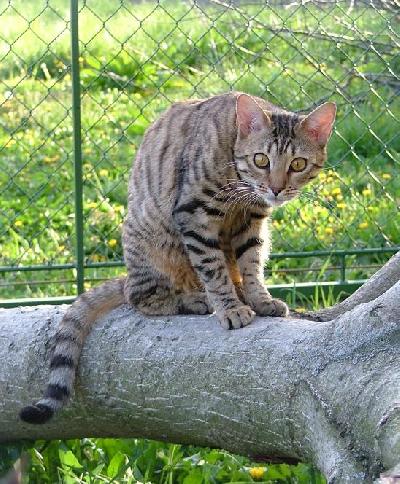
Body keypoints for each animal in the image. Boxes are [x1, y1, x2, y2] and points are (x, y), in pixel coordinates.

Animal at [20, 92, 336, 424]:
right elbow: (213, 270)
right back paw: (197, 300)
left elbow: (252, 264)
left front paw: (259, 299)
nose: (276, 189)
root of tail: (127, 275)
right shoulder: (194, 215)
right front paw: (230, 308)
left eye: (298, 163)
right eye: (261, 159)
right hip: (153, 241)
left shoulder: (253, 222)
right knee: (142, 296)